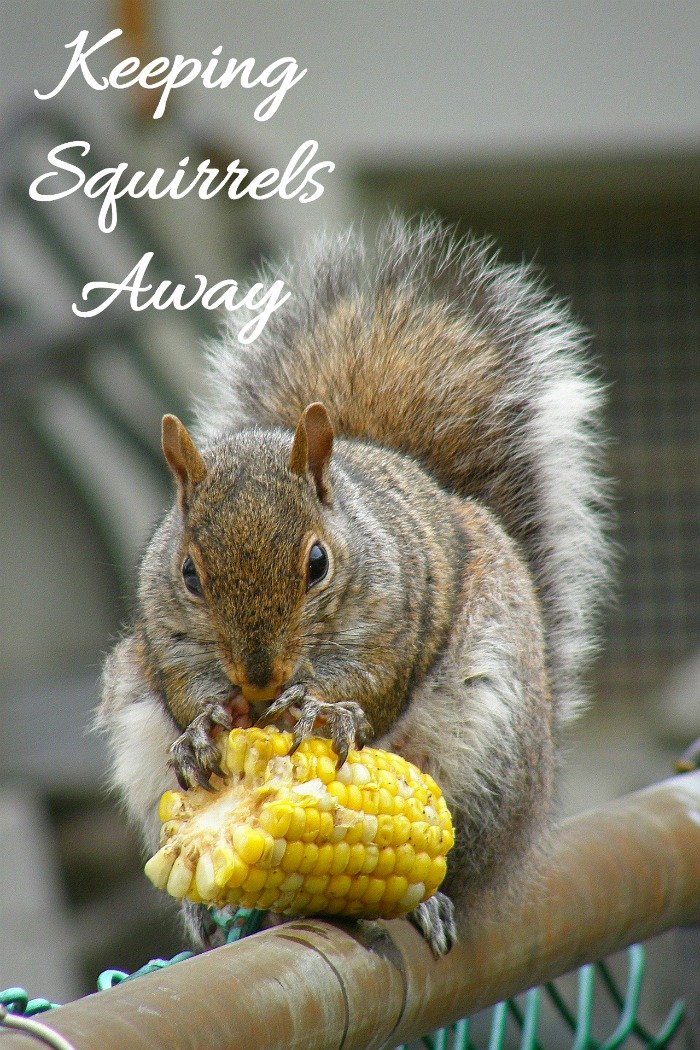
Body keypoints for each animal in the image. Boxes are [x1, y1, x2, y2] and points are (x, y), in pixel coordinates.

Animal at [98, 215, 612, 956]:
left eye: (317, 563)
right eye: (190, 574)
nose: (258, 680)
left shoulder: (398, 616)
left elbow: (373, 682)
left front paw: (318, 709)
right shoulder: (162, 632)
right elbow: (181, 681)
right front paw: (204, 726)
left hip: (488, 753)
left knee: (459, 865)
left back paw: (433, 902)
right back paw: (210, 913)